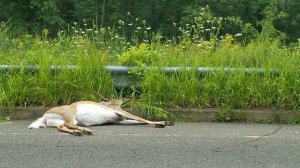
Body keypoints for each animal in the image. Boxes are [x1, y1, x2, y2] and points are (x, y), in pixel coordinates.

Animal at [28, 99, 173, 136]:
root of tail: (44, 116)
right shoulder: (120, 112)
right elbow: (140, 118)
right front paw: (162, 122)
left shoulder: (119, 121)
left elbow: (137, 121)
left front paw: (165, 122)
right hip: (71, 112)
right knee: (69, 123)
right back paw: (85, 130)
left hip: (60, 121)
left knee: (61, 126)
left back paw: (78, 132)